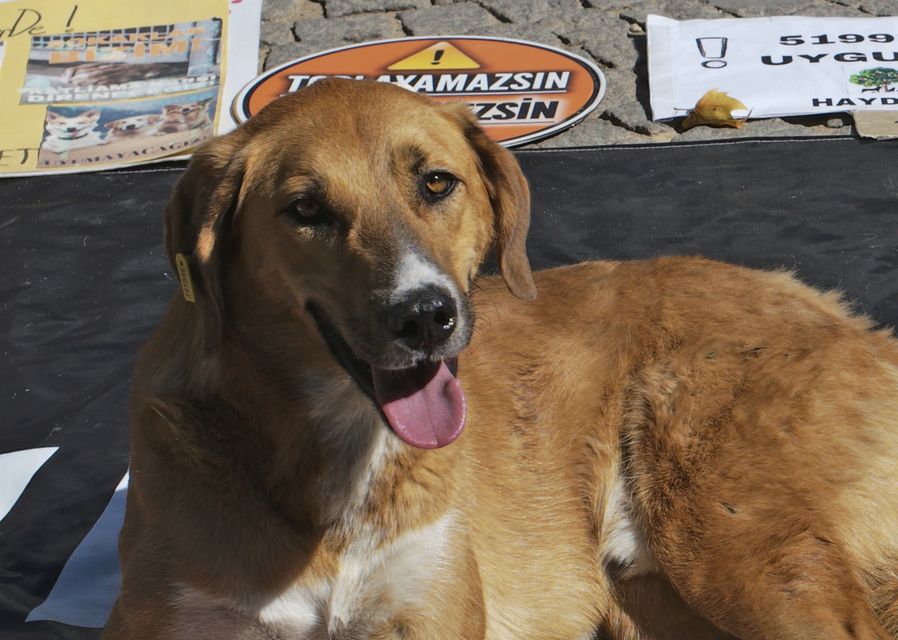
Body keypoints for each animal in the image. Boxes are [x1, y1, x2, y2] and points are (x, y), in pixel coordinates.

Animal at [105, 80, 896, 640]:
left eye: (436, 183)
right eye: (305, 210)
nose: (426, 315)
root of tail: (853, 323)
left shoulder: (431, 611)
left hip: (727, 536)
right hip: (650, 599)